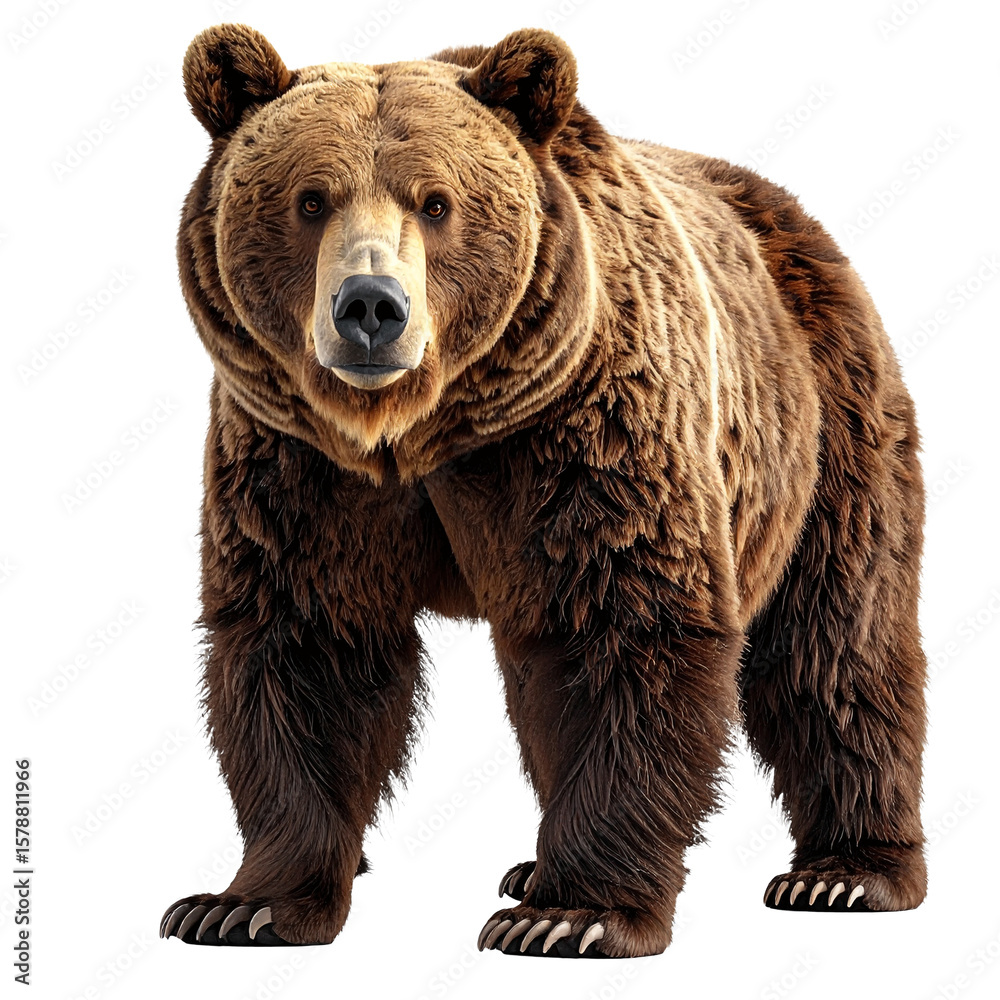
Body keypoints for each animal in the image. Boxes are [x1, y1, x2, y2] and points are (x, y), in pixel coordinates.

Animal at [159, 23, 928, 958]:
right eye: (310, 200)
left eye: (437, 202)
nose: (370, 307)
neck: (421, 432)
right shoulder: (300, 462)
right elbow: (307, 640)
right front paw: (242, 905)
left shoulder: (587, 432)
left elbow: (624, 624)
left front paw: (573, 915)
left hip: (825, 426)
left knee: (837, 643)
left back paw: (845, 873)